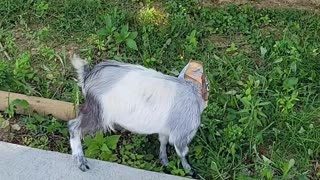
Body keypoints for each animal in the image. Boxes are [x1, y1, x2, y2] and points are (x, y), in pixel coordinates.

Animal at [67, 51, 210, 174]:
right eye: (207, 84)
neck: (191, 90)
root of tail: (87, 76)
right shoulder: (181, 134)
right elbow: (182, 152)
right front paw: (188, 169)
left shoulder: (165, 129)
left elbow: (163, 142)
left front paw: (164, 160)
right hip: (99, 114)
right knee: (73, 126)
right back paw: (81, 161)